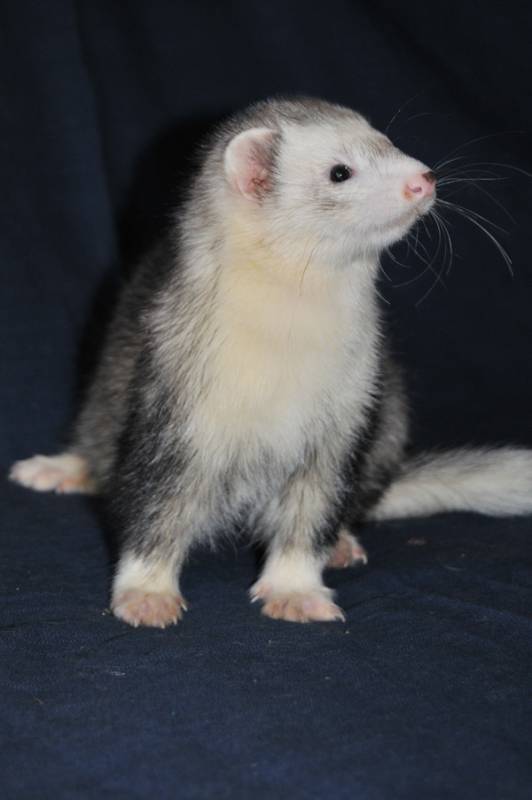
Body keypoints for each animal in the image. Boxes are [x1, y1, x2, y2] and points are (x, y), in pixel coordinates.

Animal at [10, 97, 532, 627]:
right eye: (340, 171)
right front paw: (146, 594)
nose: (423, 179)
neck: (285, 362)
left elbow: (311, 515)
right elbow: (155, 507)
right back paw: (59, 469)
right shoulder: (175, 411)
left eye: (387, 141)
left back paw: (342, 544)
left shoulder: (342, 422)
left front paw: (295, 591)